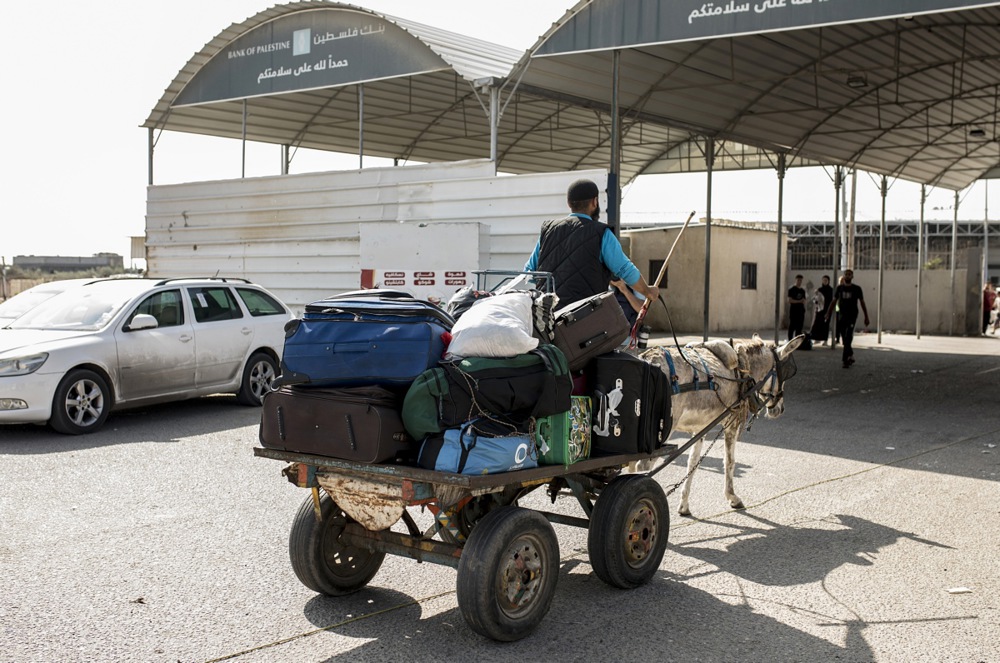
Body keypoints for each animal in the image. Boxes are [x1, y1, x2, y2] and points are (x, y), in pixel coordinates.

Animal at [638, 334, 804, 516]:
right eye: (783, 376)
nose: (780, 409)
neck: (742, 368)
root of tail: (648, 360)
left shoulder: (700, 428)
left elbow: (692, 463)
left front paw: (684, 505)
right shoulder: (731, 423)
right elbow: (730, 461)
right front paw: (732, 497)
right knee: (642, 469)